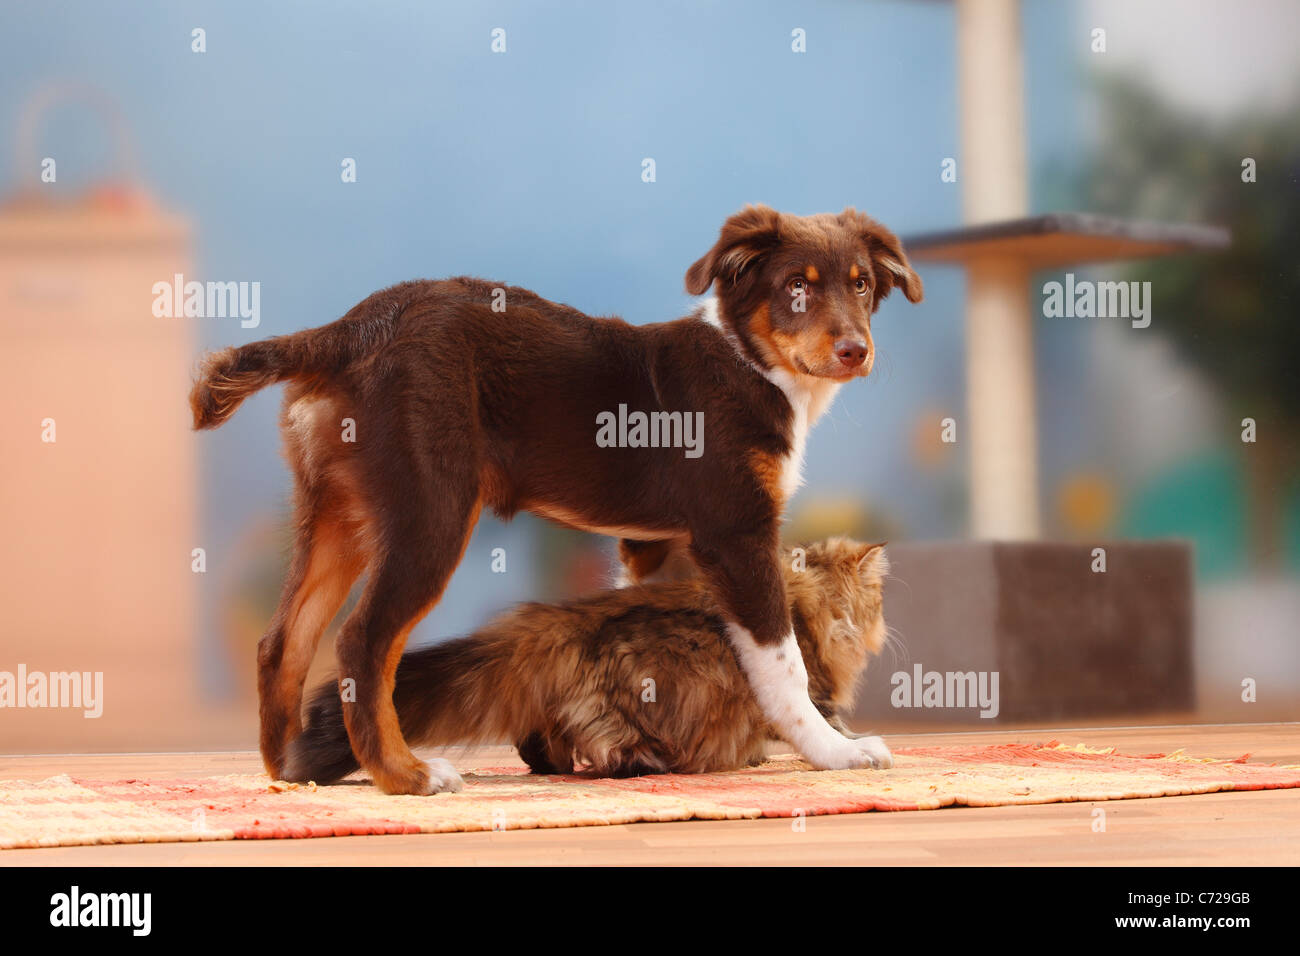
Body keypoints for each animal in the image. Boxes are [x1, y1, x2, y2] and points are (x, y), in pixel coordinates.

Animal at [189, 205, 925, 796]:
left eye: (862, 284)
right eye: (796, 286)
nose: (856, 350)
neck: (751, 361)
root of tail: (352, 328)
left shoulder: (653, 543)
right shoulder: (738, 532)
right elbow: (781, 661)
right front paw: (833, 751)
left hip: (338, 512)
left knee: (283, 639)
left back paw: (288, 772)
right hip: (430, 512)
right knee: (361, 640)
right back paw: (405, 775)